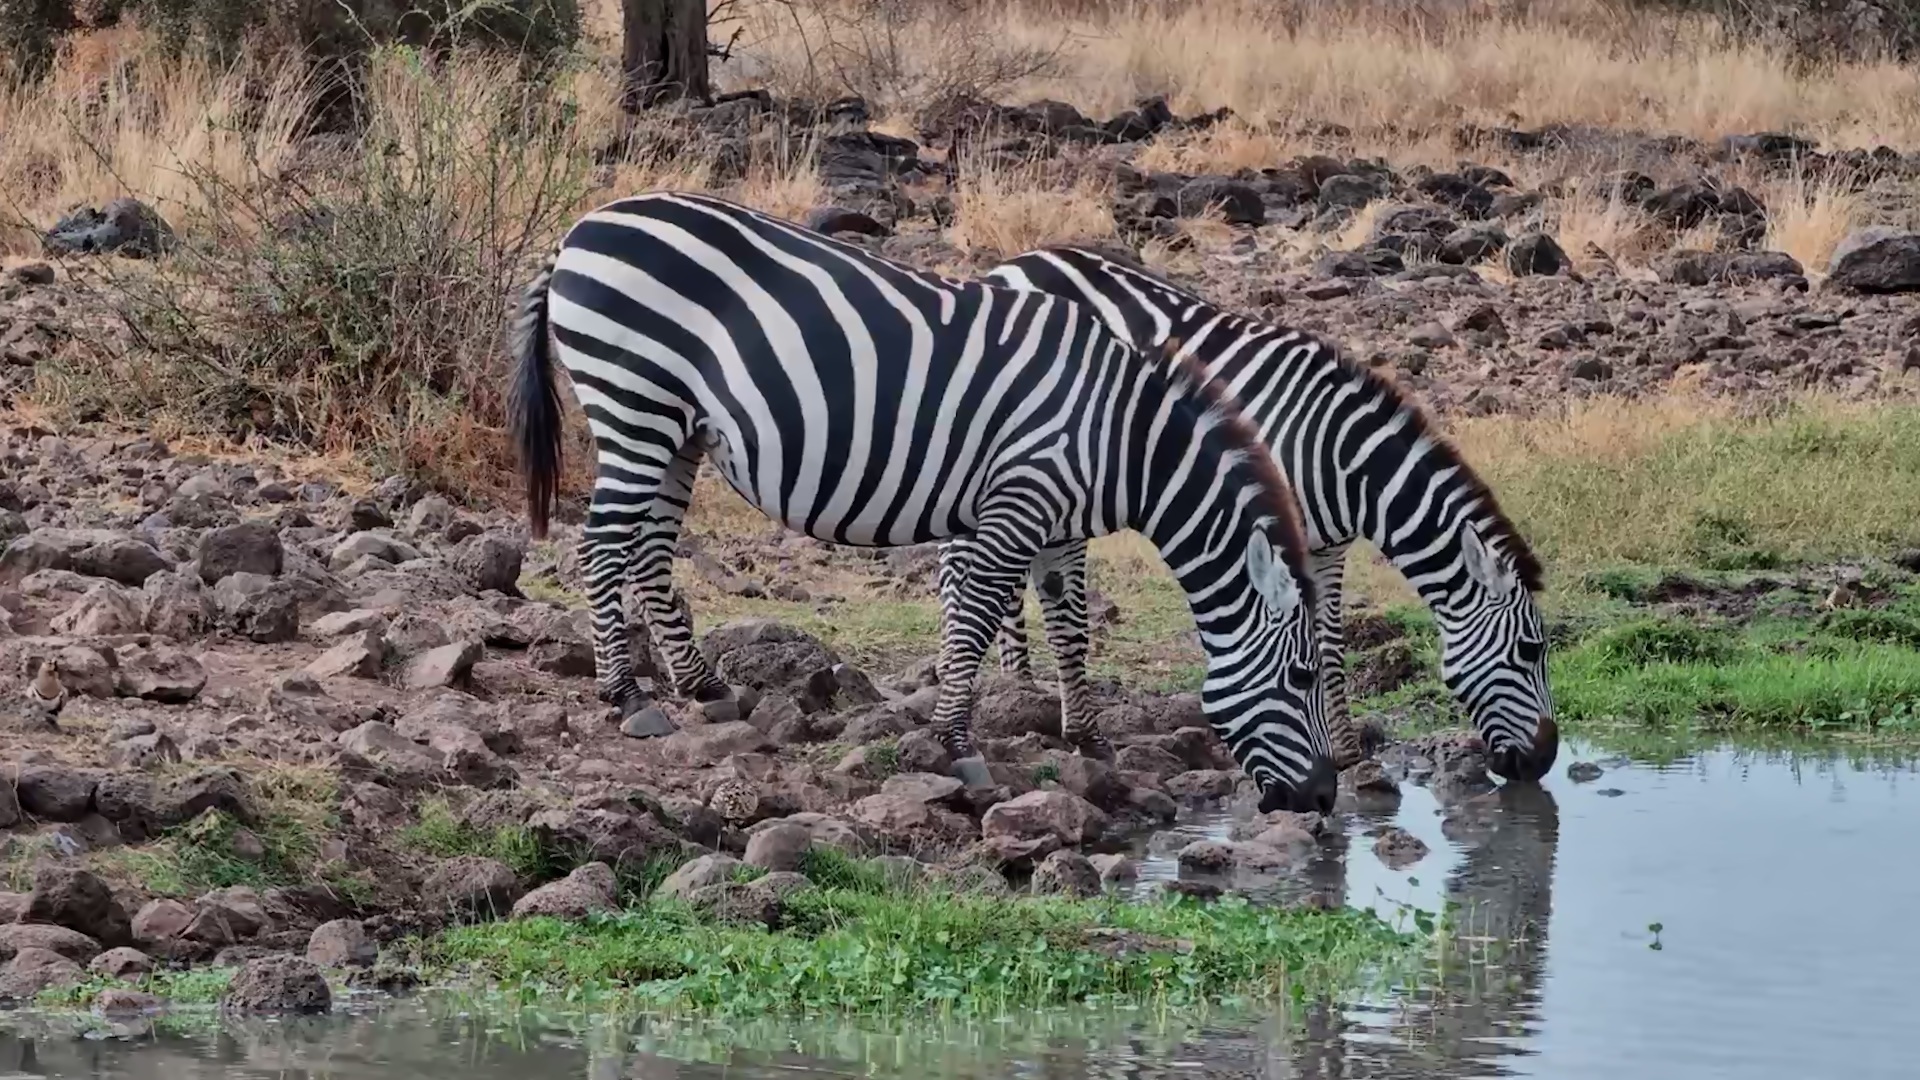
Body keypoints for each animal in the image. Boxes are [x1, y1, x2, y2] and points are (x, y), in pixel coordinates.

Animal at [507, 192, 1341, 813]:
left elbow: (1070, 630)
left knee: (647, 549)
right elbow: (974, 622)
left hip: (676, 430)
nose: (1326, 800)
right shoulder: (1019, 501)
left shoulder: (1058, 524)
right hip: (634, 401)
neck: (1123, 439)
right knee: (603, 545)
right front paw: (955, 746)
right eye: (1302, 679)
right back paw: (625, 696)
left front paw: (1088, 738)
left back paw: (702, 685)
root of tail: (581, 227)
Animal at [977, 245, 1558, 784]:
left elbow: (1330, 645)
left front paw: (1347, 753)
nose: (1544, 762)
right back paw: (1017, 692)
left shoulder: (1325, 547)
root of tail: (1013, 262)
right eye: (1530, 650)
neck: (1337, 454)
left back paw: (1018, 690)